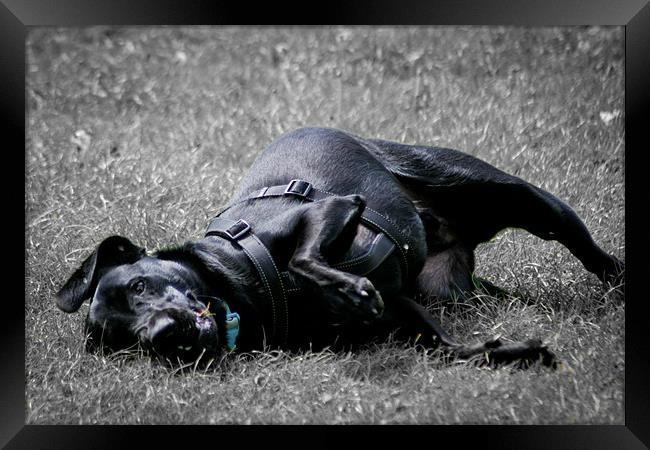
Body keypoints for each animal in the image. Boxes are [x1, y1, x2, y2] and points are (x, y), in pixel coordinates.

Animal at [55, 126, 624, 370]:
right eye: (125, 344)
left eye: (140, 285)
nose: (162, 334)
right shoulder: (408, 315)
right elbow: (456, 351)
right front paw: (516, 351)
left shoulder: (329, 209)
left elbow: (305, 258)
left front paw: (351, 287)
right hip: (449, 289)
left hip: (522, 199)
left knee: (592, 251)